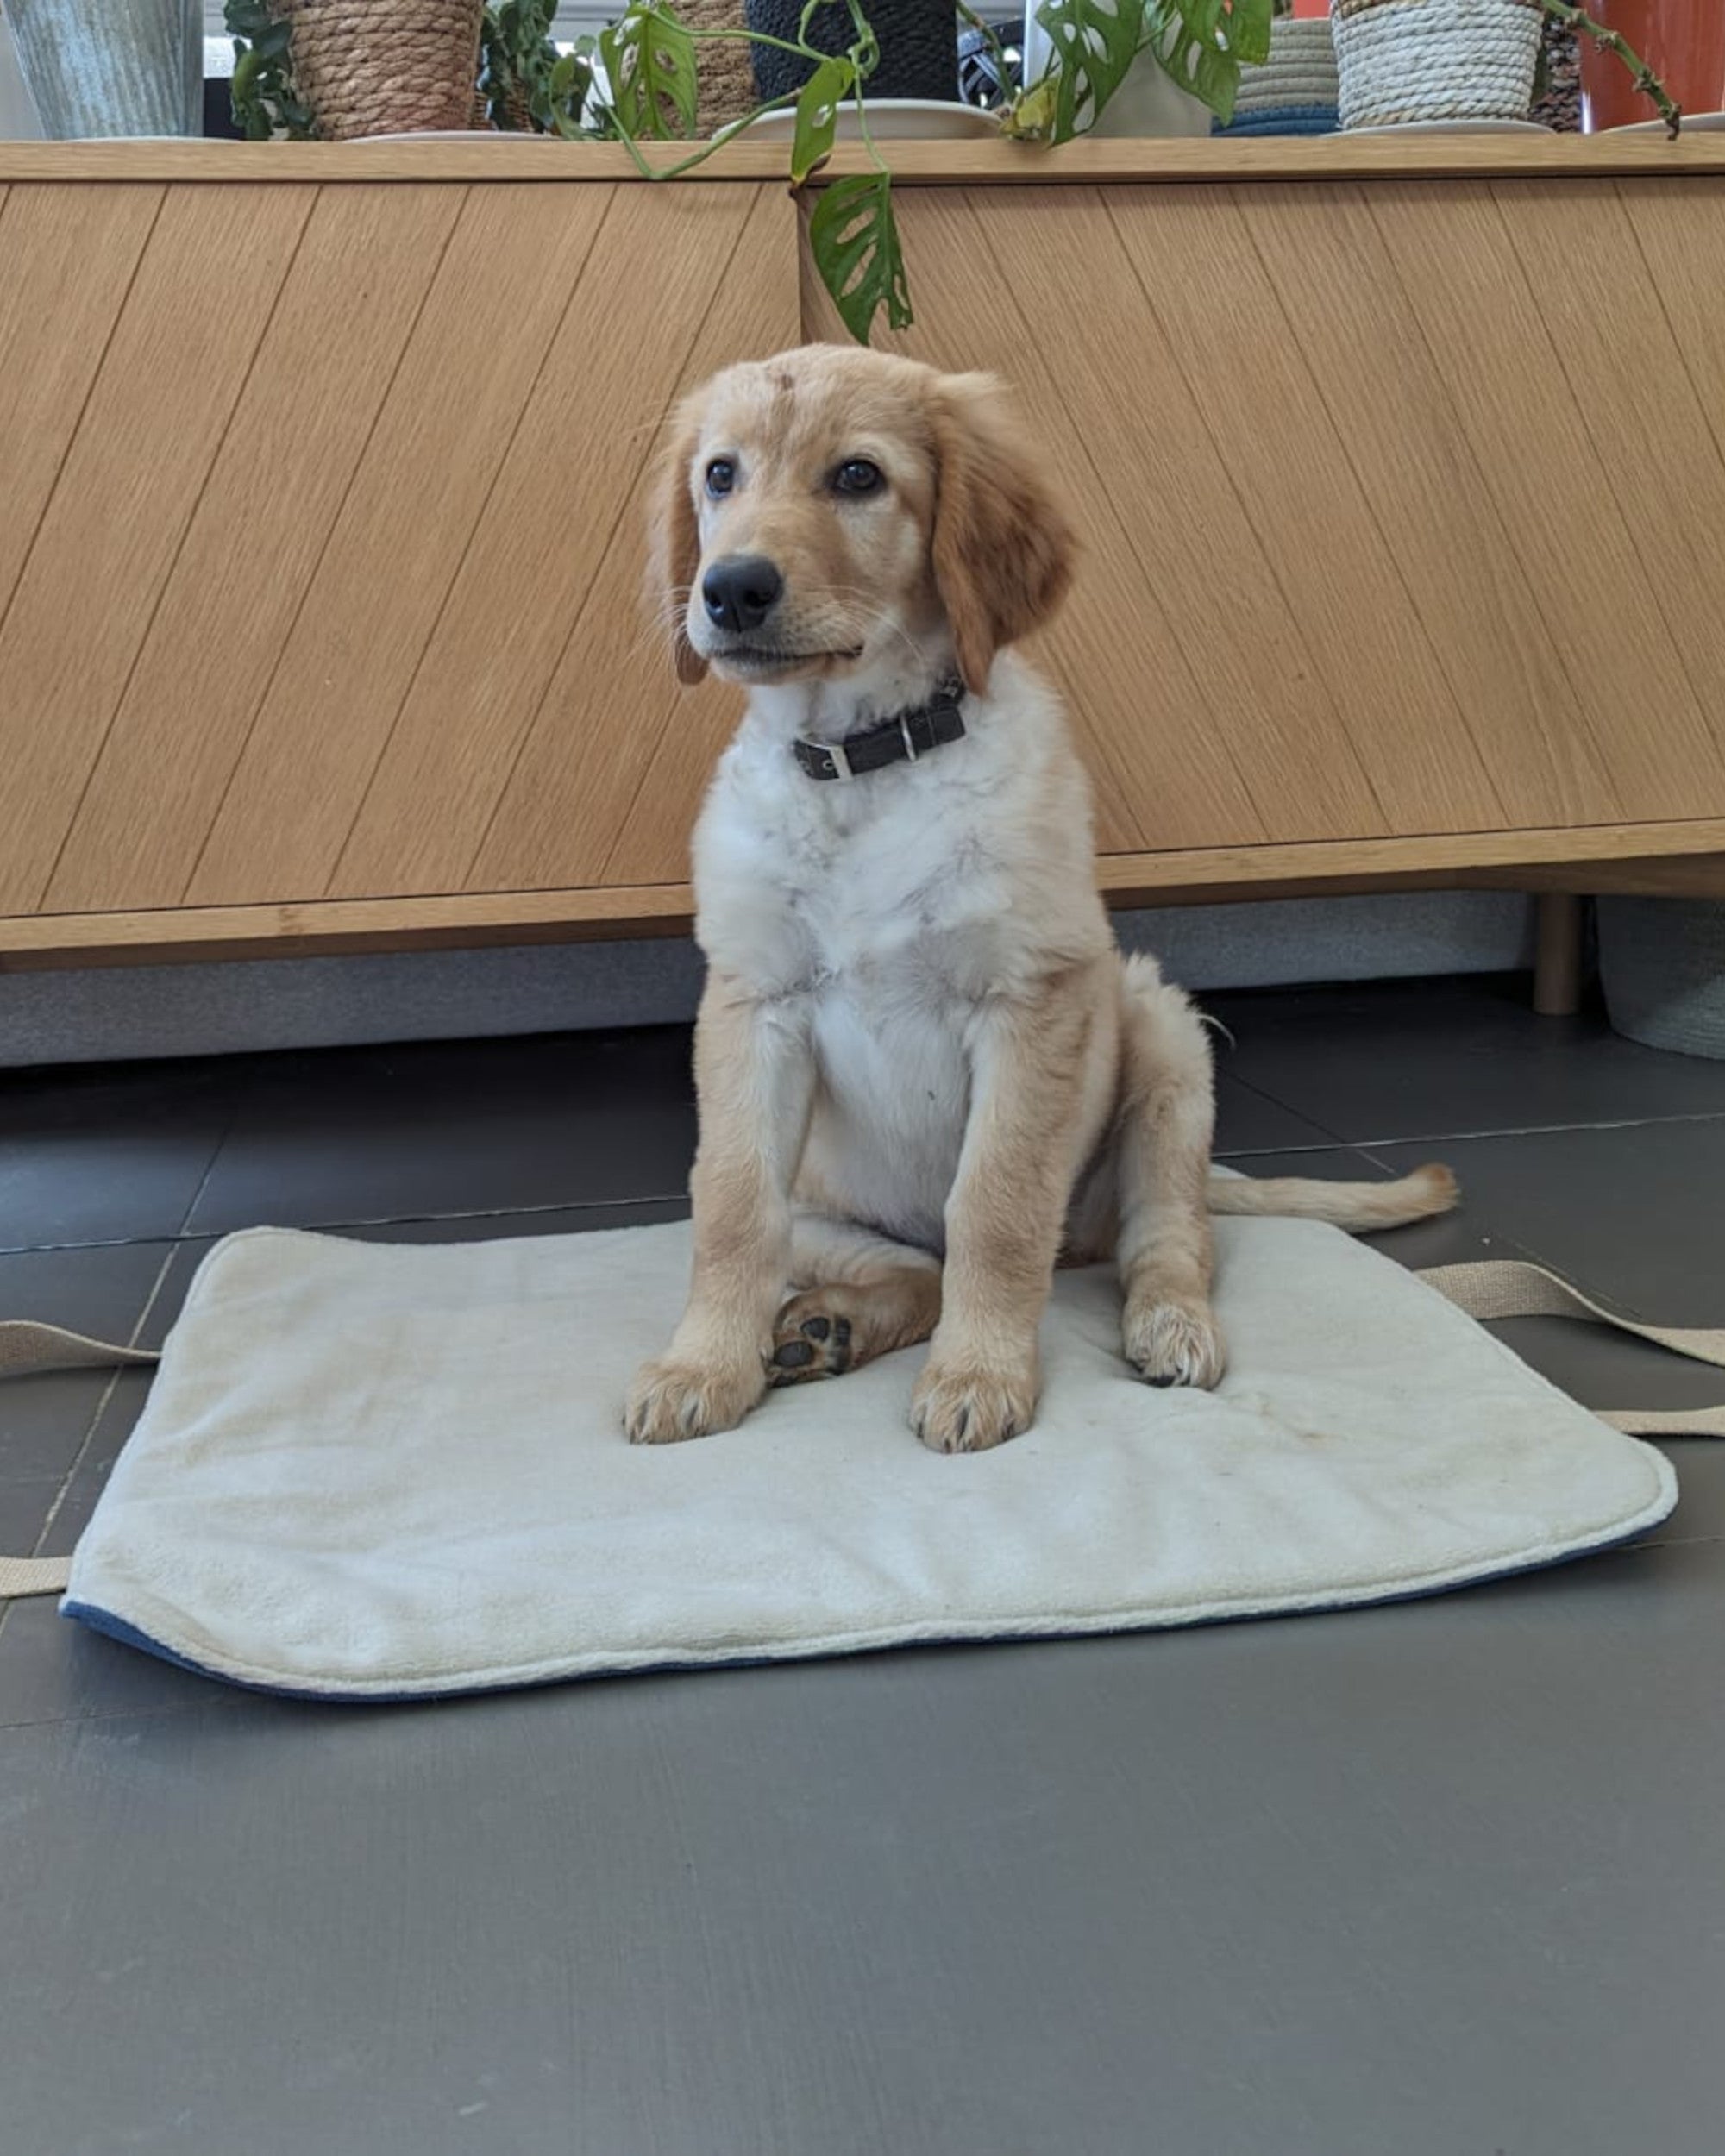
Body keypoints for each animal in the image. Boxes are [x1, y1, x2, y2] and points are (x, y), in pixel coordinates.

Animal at [621, 345, 1458, 1449]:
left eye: (857, 476)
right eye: (719, 475)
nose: (728, 589)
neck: (864, 765)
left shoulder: (1027, 1000)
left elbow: (996, 1207)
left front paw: (979, 1374)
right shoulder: (751, 1006)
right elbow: (730, 1211)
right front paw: (702, 1364)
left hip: (1163, 1047)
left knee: (1166, 1238)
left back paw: (1167, 1324)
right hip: (827, 1208)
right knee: (909, 1272)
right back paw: (820, 1328)